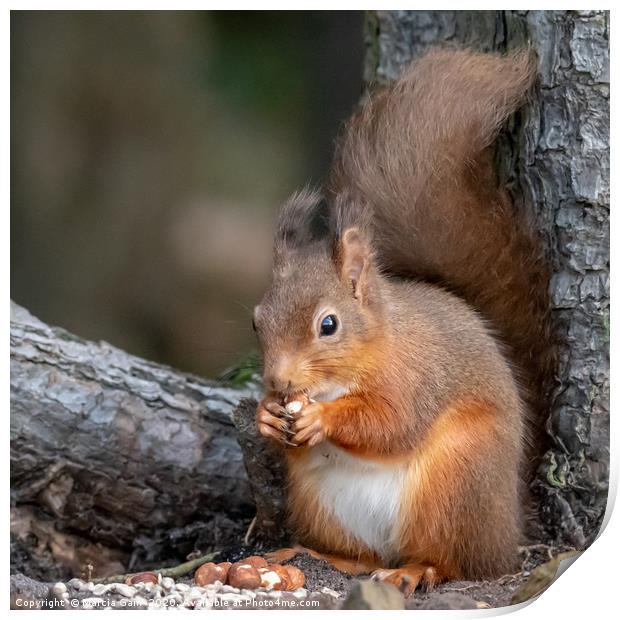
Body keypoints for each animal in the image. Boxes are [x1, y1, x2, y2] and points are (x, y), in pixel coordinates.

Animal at [252, 49, 552, 596]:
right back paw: (317, 554)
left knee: (454, 561)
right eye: (256, 321)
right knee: (363, 554)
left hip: (455, 483)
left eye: (329, 325)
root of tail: (508, 528)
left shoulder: (415, 378)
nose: (279, 382)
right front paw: (265, 414)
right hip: (321, 503)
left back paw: (416, 570)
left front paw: (322, 419)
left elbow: (392, 423)